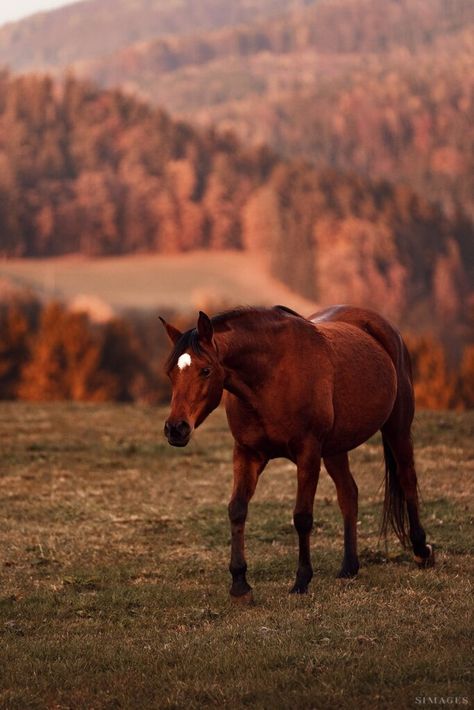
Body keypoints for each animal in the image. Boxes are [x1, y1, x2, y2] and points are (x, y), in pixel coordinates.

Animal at [159, 304, 434, 604]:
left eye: (206, 370)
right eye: (170, 373)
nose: (175, 429)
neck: (271, 378)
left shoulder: (308, 454)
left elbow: (302, 517)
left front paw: (301, 581)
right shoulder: (246, 454)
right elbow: (237, 510)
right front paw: (240, 584)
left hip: (397, 428)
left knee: (407, 480)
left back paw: (421, 551)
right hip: (336, 449)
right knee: (349, 494)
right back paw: (349, 567)